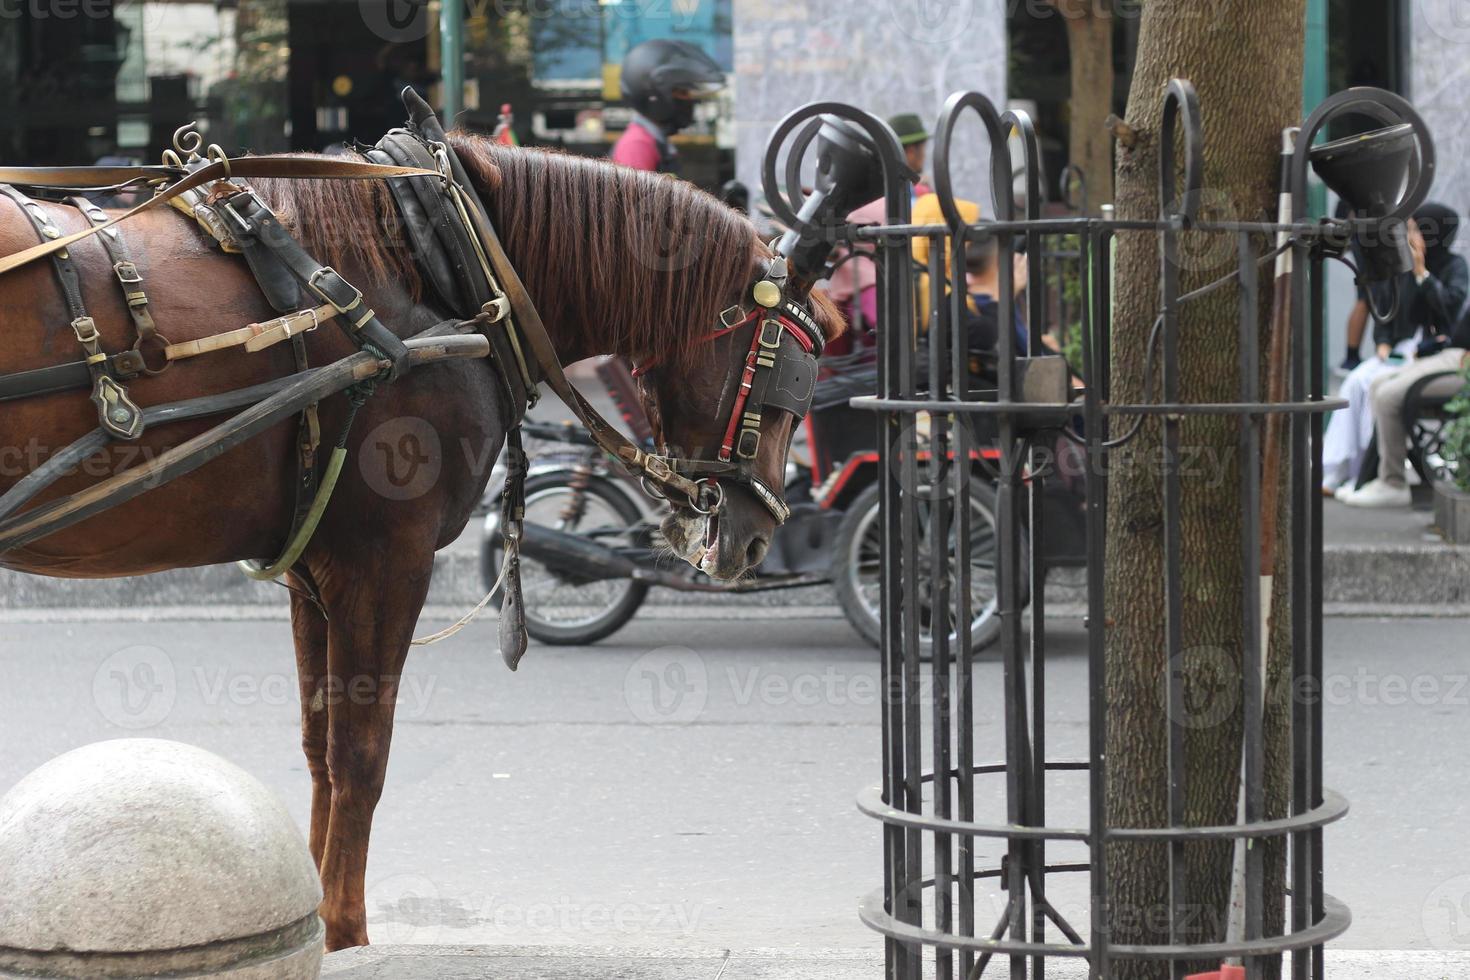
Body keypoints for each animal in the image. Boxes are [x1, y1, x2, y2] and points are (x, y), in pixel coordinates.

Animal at [0, 134, 840, 946]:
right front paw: (345, 931)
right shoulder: (385, 561)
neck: (442, 270)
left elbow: (319, 749)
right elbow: (361, 756)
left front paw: (316, 914)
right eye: (792, 375)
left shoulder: (315, 569)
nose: (759, 537)